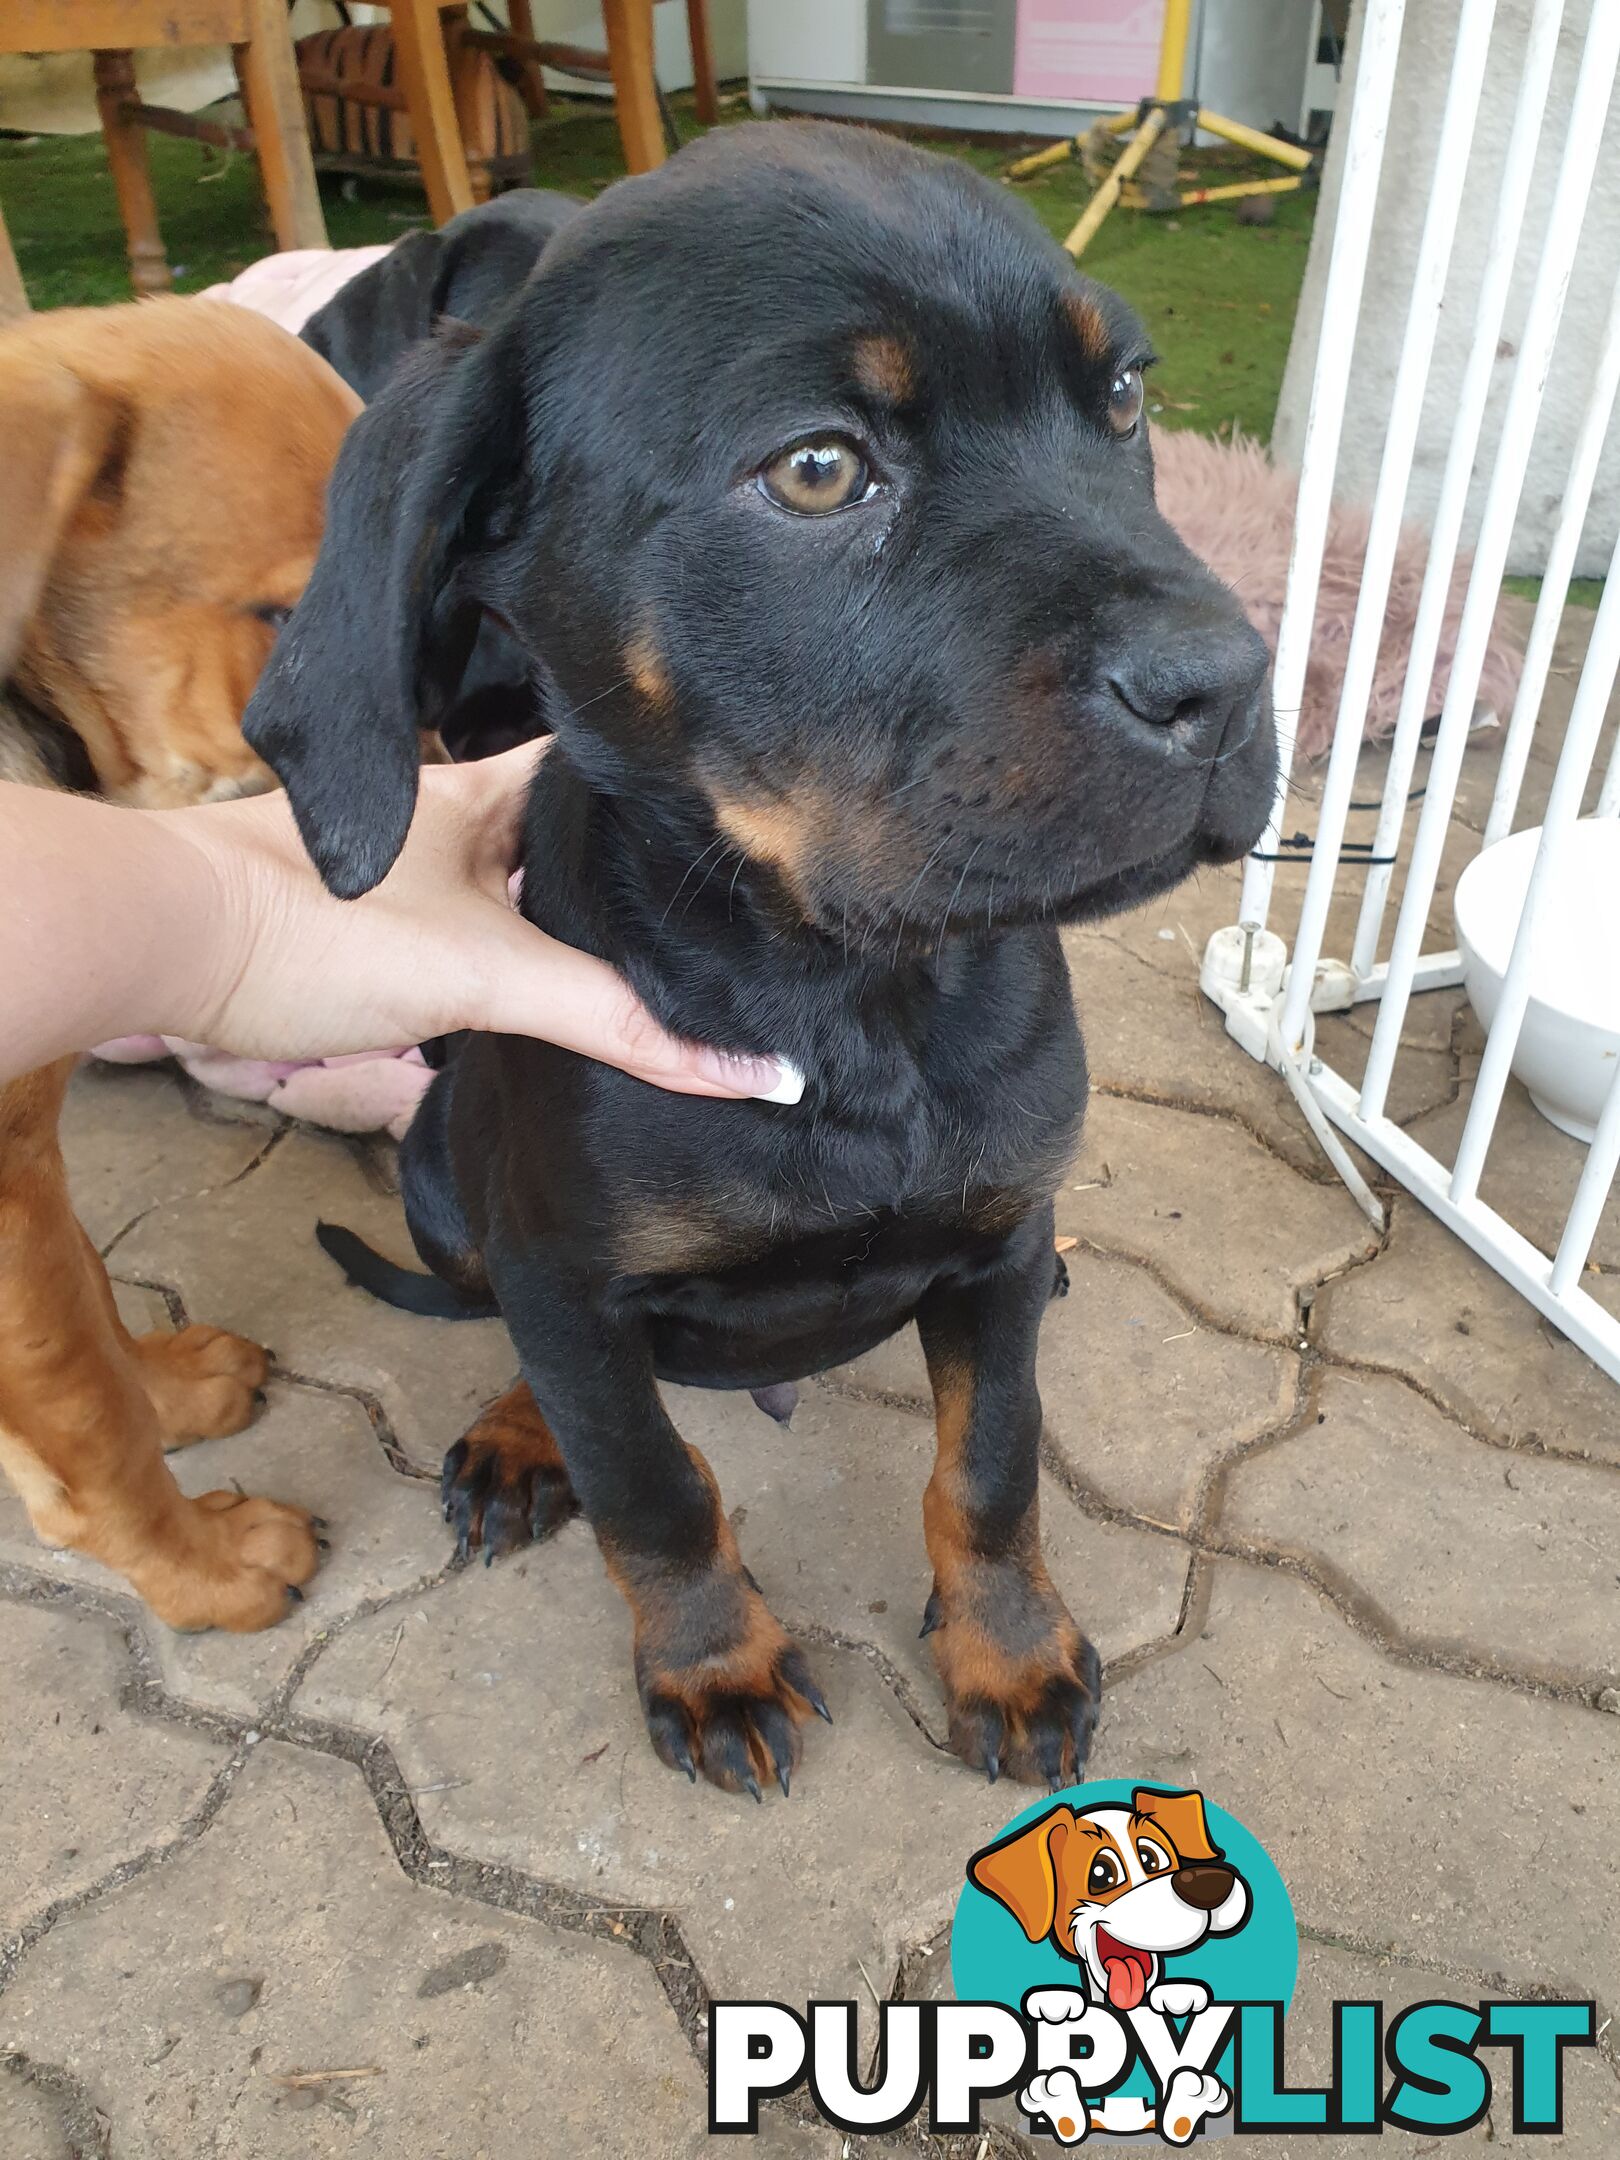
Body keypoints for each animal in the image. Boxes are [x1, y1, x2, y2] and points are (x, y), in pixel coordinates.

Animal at [244, 122, 1278, 1805]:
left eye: (1124, 398)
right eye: (817, 468)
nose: (1231, 683)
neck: (848, 998)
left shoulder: (989, 1241)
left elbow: (990, 1468)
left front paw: (1010, 1654)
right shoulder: (572, 1276)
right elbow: (651, 1485)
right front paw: (712, 1668)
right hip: (440, 1162)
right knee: (524, 1343)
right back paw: (520, 1438)